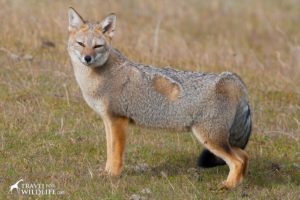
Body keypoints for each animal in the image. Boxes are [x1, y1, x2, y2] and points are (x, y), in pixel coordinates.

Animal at [67, 7, 251, 189]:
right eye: (81, 44)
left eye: (97, 46)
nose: (87, 58)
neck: (98, 79)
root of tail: (232, 79)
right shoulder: (108, 121)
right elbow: (109, 152)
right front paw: (105, 173)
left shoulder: (118, 120)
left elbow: (116, 154)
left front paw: (113, 176)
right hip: (220, 139)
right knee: (244, 155)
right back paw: (238, 184)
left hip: (210, 138)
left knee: (237, 161)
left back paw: (228, 185)